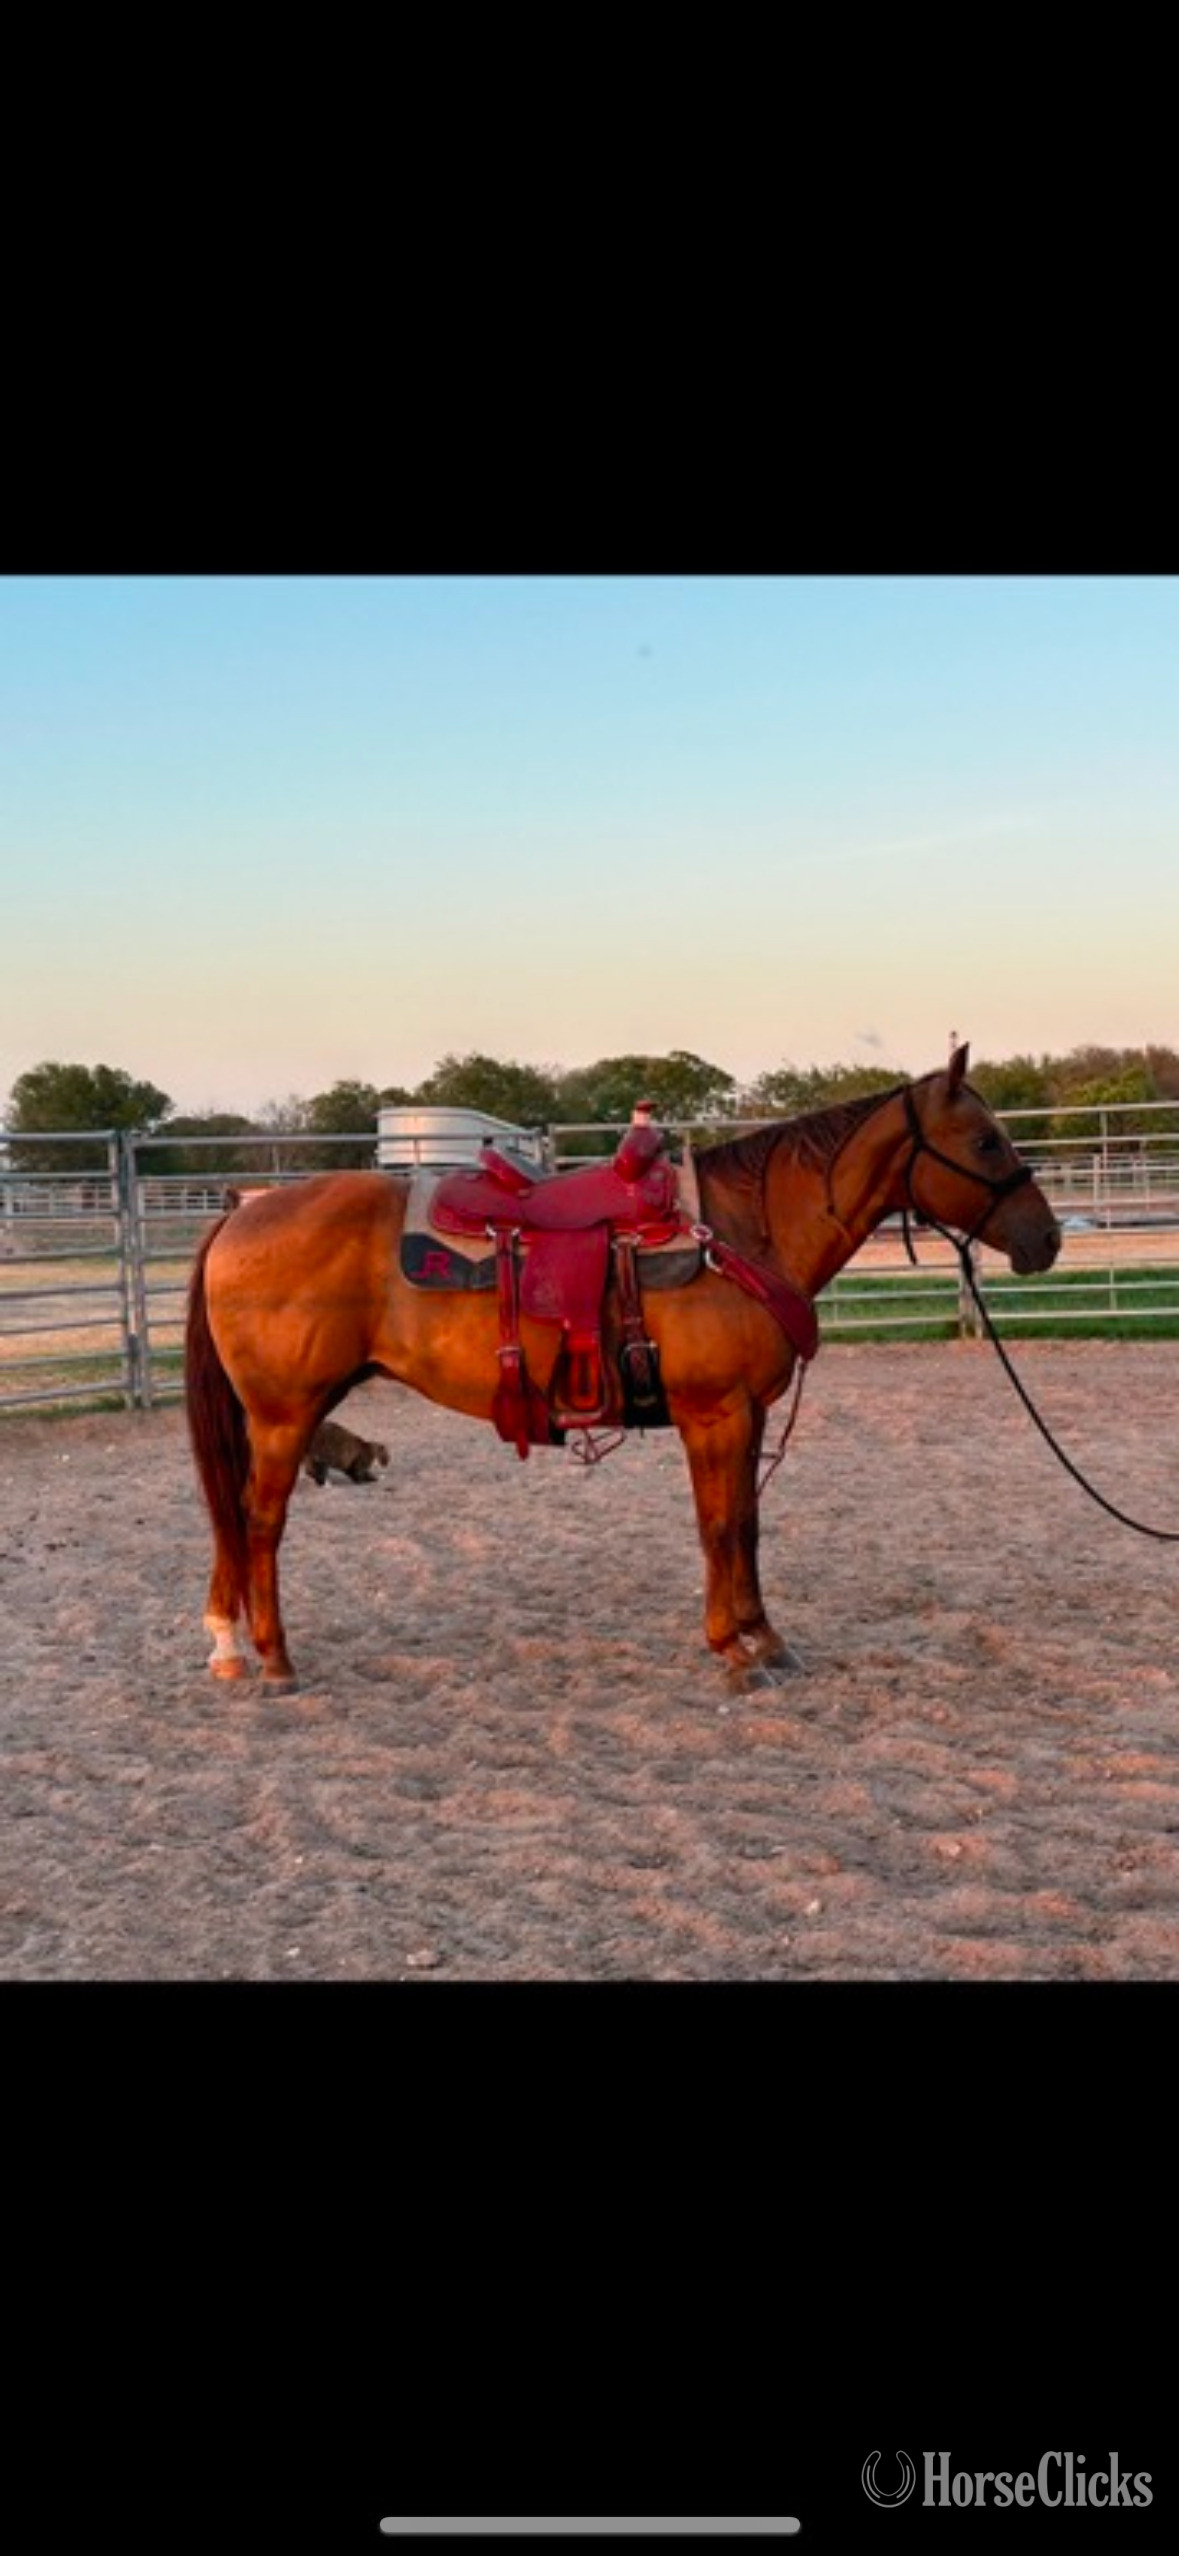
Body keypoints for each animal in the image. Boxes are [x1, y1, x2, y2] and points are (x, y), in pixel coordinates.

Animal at [185, 1044, 1060, 1693]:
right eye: (985, 1140)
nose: (1045, 1239)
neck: (740, 1233)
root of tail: (240, 1216)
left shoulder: (747, 1414)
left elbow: (746, 1522)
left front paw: (765, 1638)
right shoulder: (713, 1413)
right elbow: (718, 1525)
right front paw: (731, 1649)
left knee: (236, 1520)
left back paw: (229, 1647)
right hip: (285, 1415)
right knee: (258, 1522)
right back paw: (275, 1660)